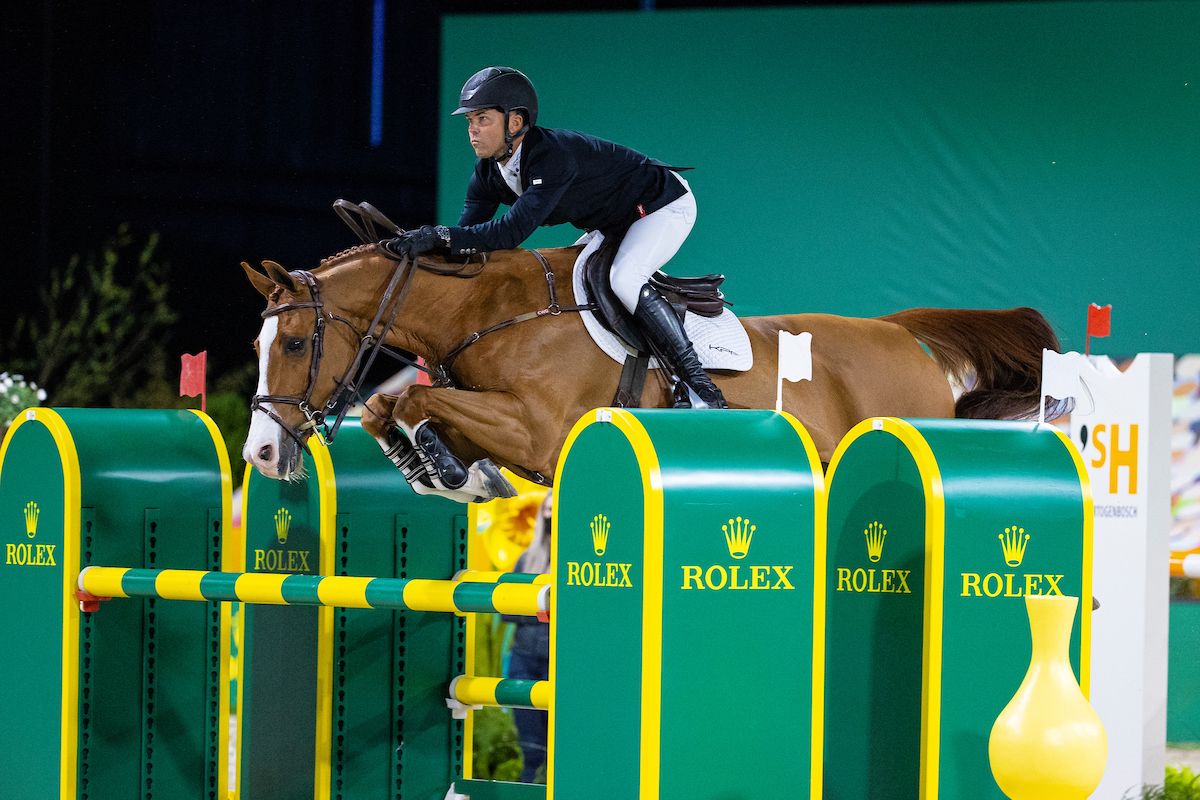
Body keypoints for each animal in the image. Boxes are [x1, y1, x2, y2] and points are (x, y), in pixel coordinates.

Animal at [241, 242, 1061, 503]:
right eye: (258, 344)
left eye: (293, 344)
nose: (261, 453)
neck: (490, 310)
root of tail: (899, 333)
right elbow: (400, 408)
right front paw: (440, 469)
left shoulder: (538, 431)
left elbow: (420, 404)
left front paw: (446, 469)